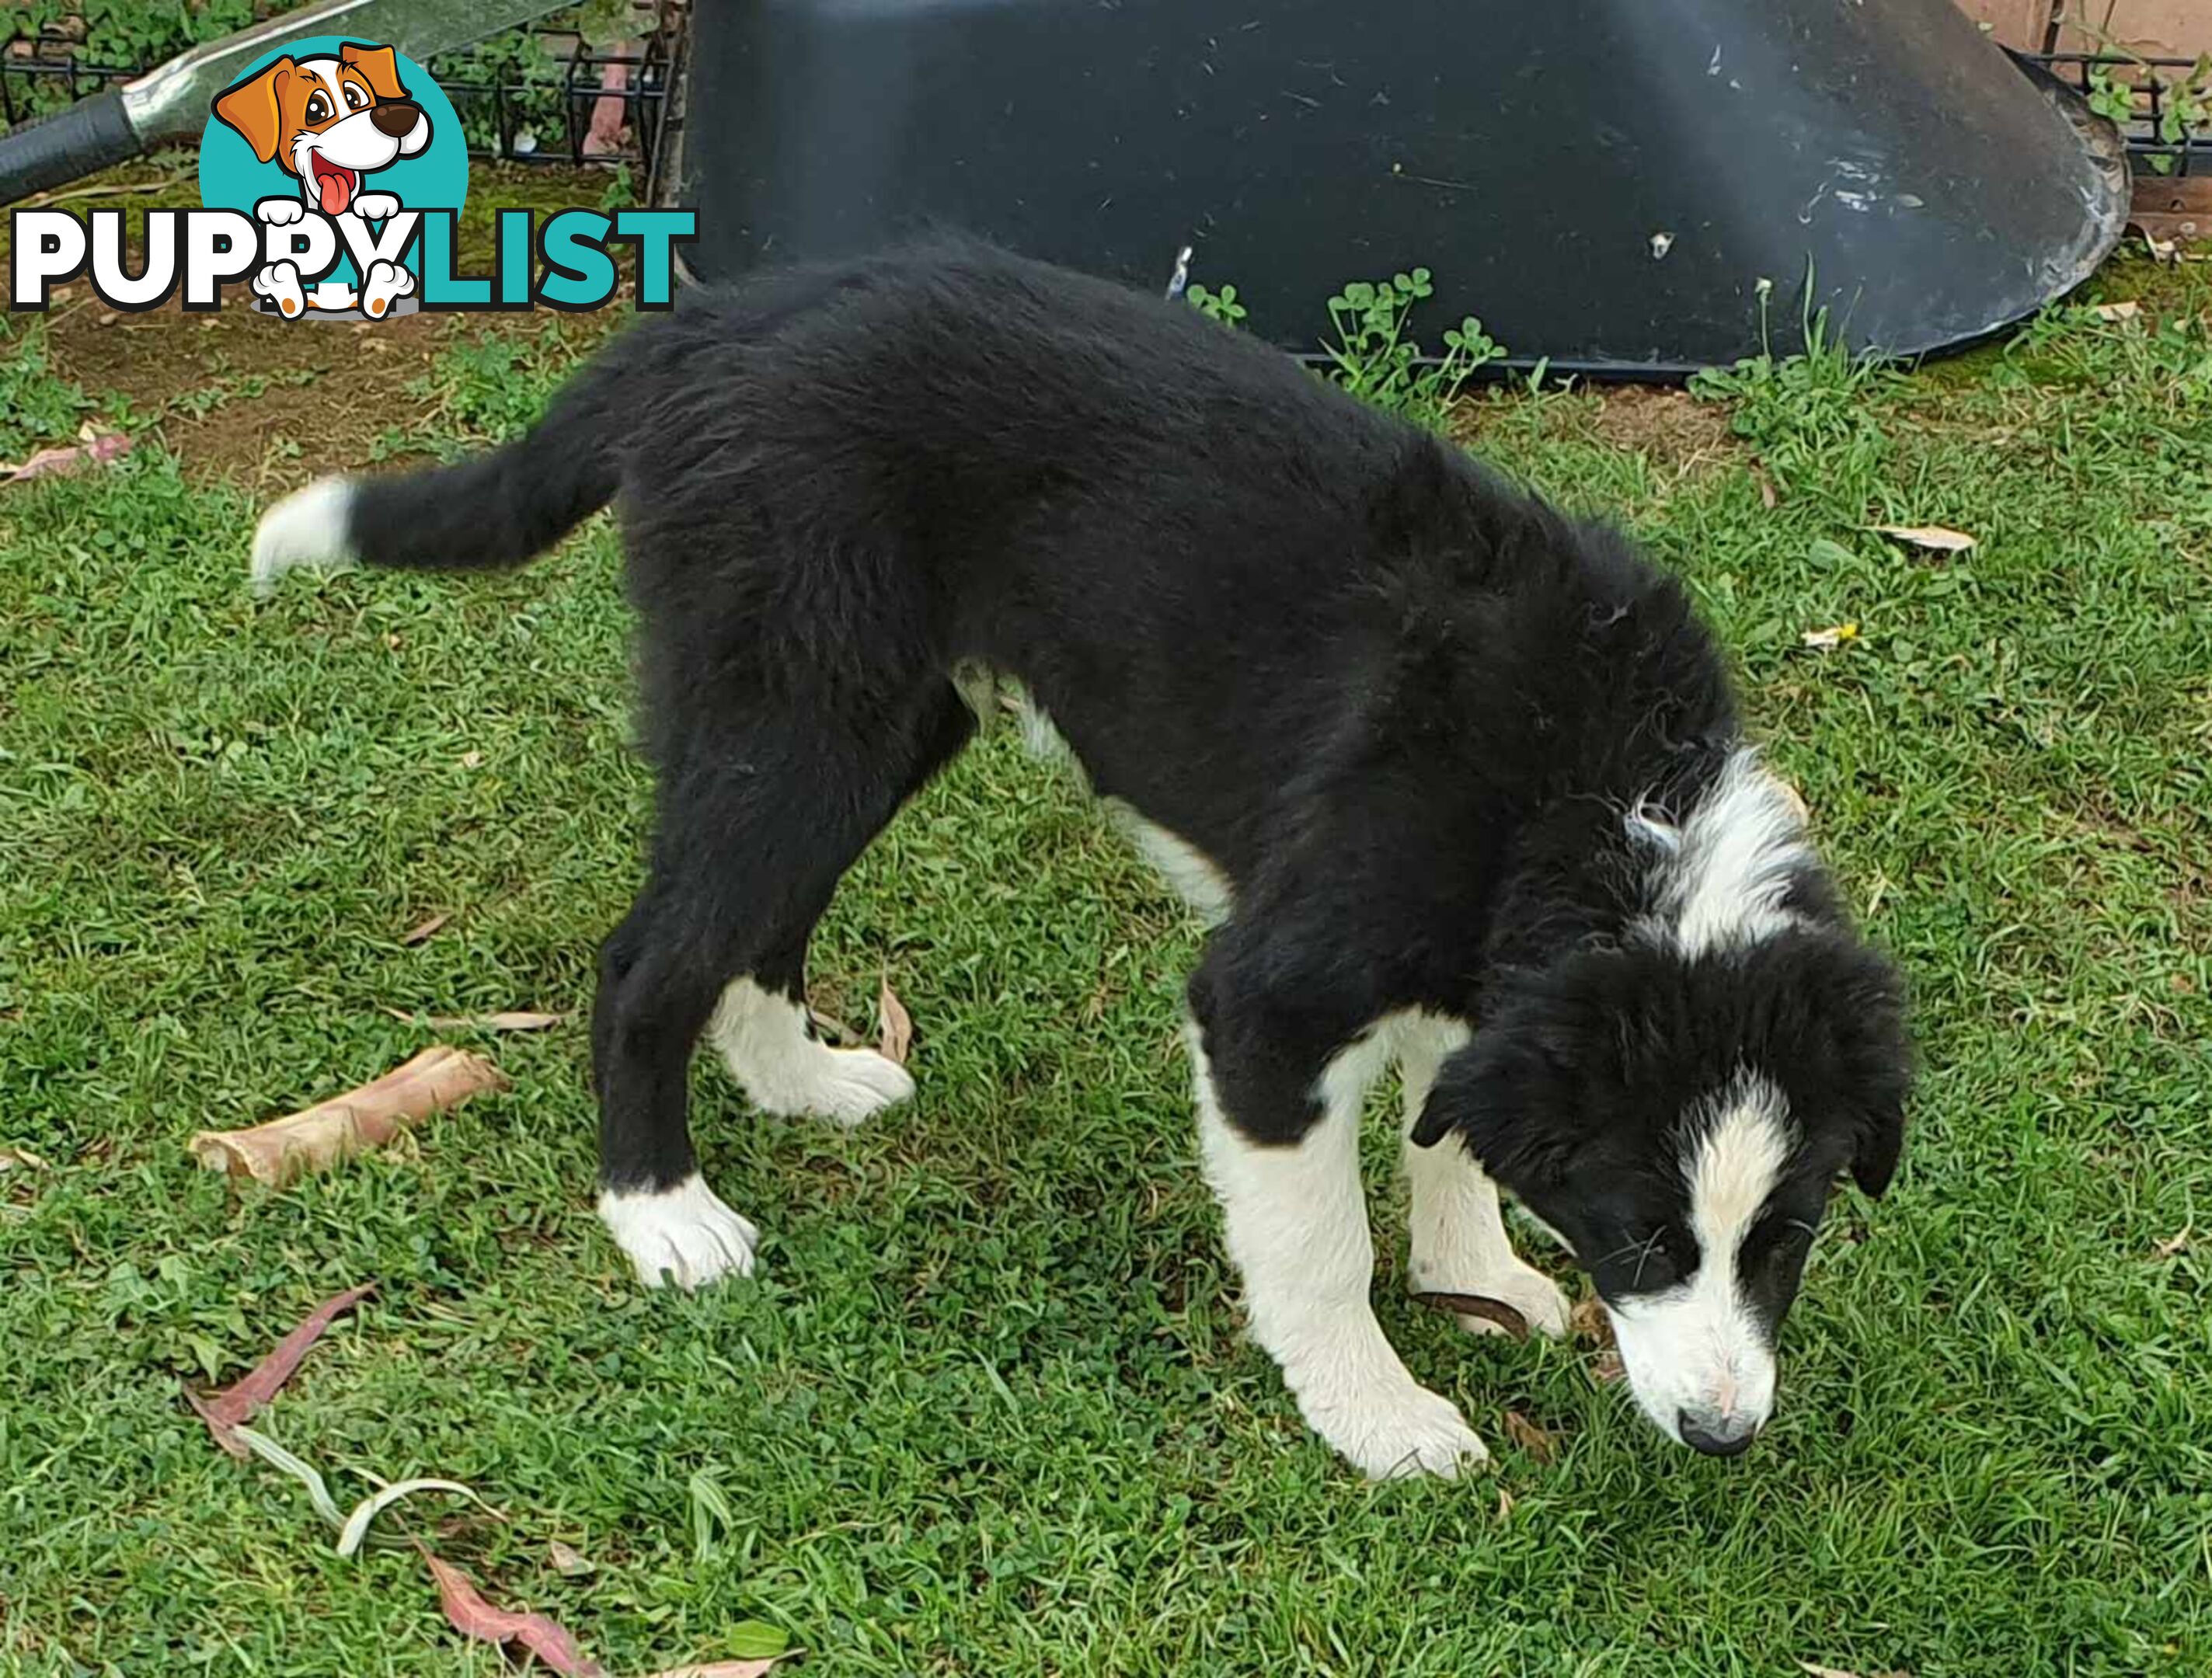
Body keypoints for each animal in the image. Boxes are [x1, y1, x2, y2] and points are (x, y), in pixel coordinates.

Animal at [242, 243, 1902, 1477]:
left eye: (1791, 1236)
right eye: (1639, 1231)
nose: (1720, 1435)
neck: (1596, 784)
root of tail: (719, 316)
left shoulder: (1477, 964)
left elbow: (1449, 1130)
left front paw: (1474, 1279)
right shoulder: (1268, 1005)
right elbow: (1319, 1249)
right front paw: (1380, 1418)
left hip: (867, 717)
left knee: (752, 921)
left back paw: (800, 1083)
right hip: (796, 706)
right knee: (648, 958)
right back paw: (663, 1215)